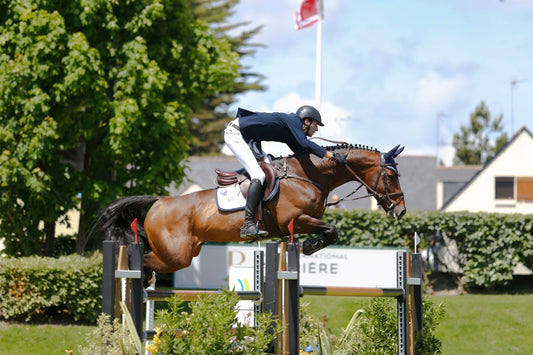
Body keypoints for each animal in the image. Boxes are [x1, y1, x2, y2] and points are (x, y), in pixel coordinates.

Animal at [93, 143, 406, 286]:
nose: (401, 210)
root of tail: (160, 201)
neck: (307, 176)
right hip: (176, 255)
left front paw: (307, 246)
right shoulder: (295, 220)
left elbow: (331, 231)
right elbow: (331, 229)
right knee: (143, 259)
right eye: (391, 176)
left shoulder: (297, 224)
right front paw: (308, 246)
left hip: (185, 251)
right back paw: (139, 278)